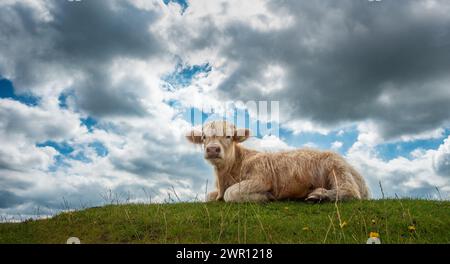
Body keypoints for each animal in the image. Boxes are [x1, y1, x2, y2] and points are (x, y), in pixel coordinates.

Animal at [186, 120, 370, 203]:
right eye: (204, 137)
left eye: (229, 136)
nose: (212, 149)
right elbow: (209, 196)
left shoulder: (261, 178)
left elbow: (230, 193)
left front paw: (264, 197)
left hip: (337, 168)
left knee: (350, 191)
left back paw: (319, 194)